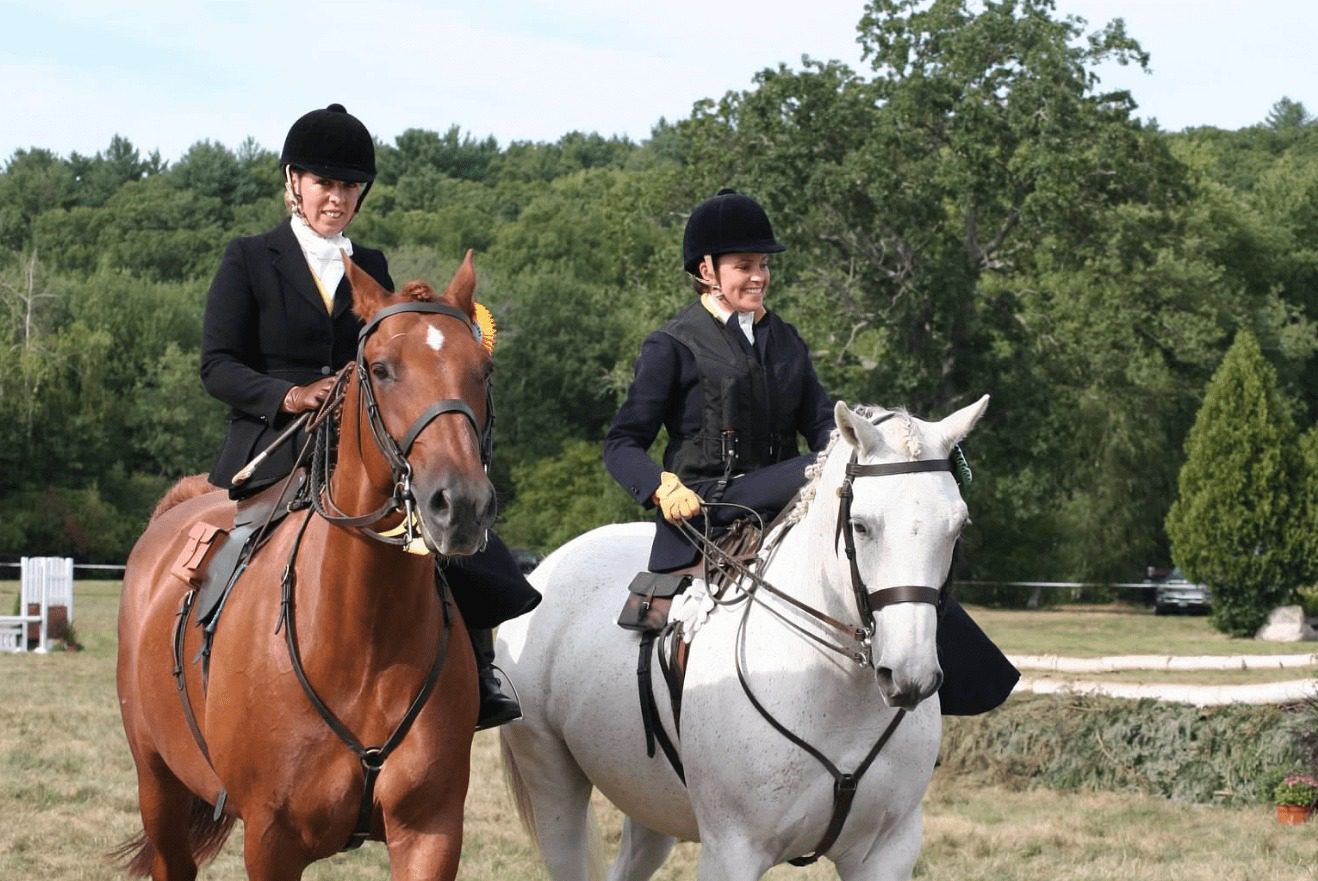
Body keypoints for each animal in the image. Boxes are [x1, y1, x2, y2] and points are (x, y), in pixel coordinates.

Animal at [113, 250, 492, 875]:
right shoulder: (272, 839)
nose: (459, 504)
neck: (364, 635)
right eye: (381, 369)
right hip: (158, 785)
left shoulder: (431, 831)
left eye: (482, 370)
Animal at [495, 398, 991, 881]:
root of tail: (549, 566)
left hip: (651, 802)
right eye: (863, 526)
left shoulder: (886, 851)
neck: (839, 691)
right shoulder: (733, 851)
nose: (908, 675)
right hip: (554, 787)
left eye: (959, 527)